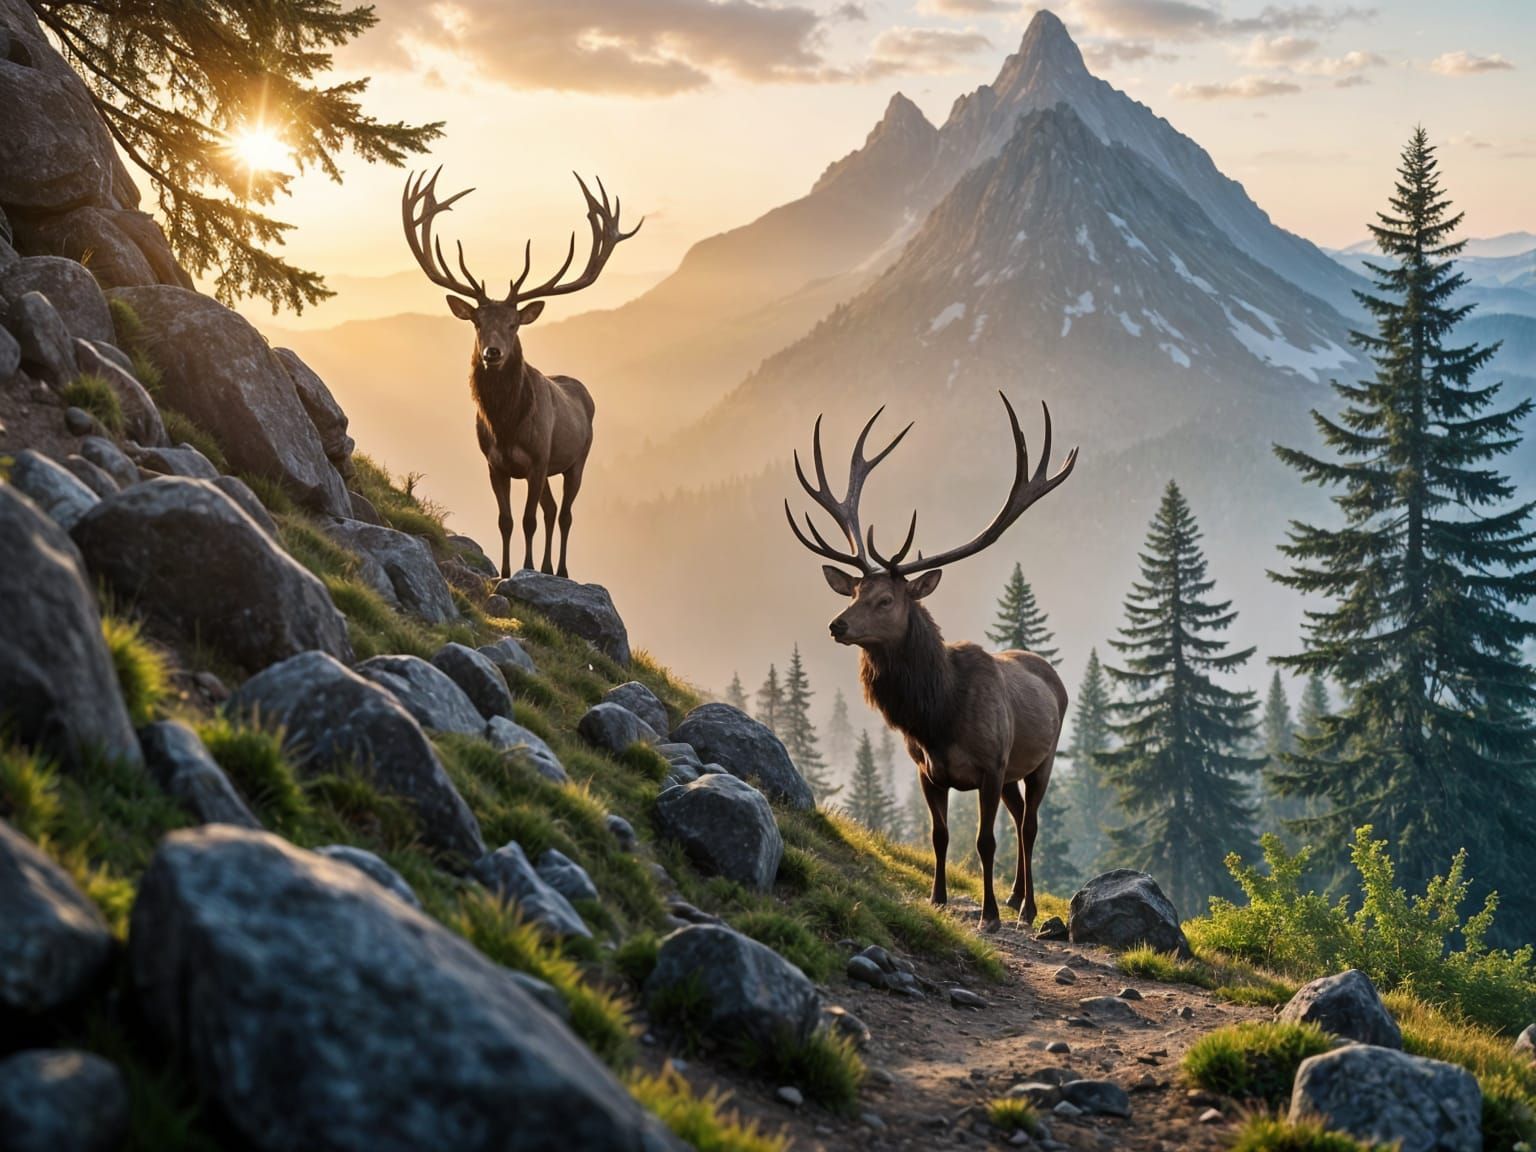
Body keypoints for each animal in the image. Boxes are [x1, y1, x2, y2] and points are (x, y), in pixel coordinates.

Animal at [401, 167, 641, 579]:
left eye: (514, 324)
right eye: (477, 322)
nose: (492, 353)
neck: (506, 425)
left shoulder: (538, 458)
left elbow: (528, 520)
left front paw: (527, 569)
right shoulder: (495, 463)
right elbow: (507, 521)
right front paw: (506, 571)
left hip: (578, 457)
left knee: (564, 514)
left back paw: (559, 570)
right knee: (550, 510)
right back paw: (546, 567)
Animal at [785, 393, 1078, 932]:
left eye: (885, 600)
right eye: (854, 590)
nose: (837, 625)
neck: (937, 716)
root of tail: (1051, 675)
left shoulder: (990, 764)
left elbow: (984, 842)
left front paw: (988, 917)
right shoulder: (926, 771)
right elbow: (939, 837)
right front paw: (939, 898)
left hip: (1040, 759)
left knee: (1029, 825)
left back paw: (1025, 907)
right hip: (1013, 772)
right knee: (1019, 817)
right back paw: (1014, 896)